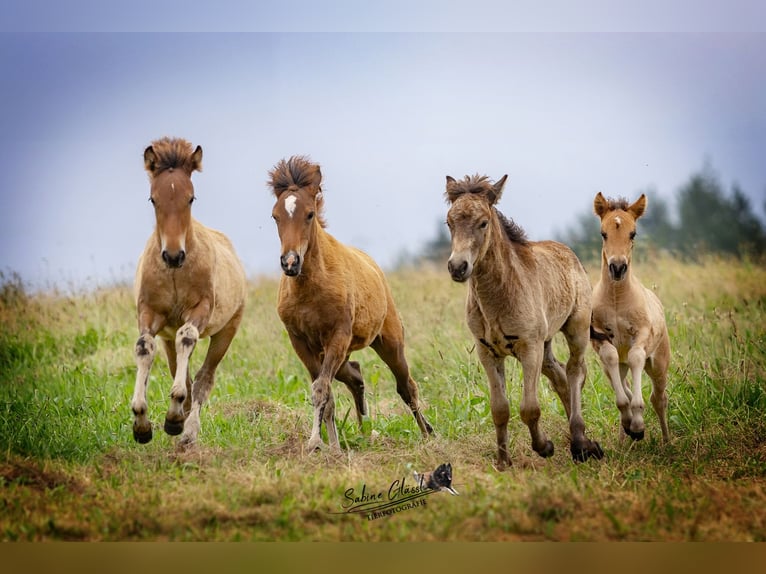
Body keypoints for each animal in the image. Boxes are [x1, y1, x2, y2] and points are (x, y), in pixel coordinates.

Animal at [130, 138, 248, 450]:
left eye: (191, 198)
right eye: (153, 199)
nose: (173, 255)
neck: (174, 274)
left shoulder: (200, 310)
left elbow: (188, 339)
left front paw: (174, 419)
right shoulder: (149, 313)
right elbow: (144, 347)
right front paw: (141, 423)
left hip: (226, 332)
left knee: (204, 378)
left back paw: (187, 430)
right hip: (167, 337)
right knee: (177, 368)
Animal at [268, 155, 438, 452]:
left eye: (309, 214)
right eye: (275, 216)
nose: (290, 262)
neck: (310, 289)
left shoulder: (338, 336)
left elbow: (321, 389)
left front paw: (315, 443)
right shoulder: (301, 342)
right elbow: (325, 392)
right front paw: (332, 447)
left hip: (388, 342)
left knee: (406, 386)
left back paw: (427, 432)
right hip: (339, 354)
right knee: (356, 376)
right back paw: (364, 430)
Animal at [444, 173, 608, 470]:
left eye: (483, 222)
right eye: (449, 223)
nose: (458, 267)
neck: (498, 296)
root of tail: (570, 254)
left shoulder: (529, 347)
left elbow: (529, 408)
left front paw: (544, 447)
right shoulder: (488, 351)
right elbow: (500, 409)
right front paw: (502, 462)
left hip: (575, 330)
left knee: (575, 371)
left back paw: (580, 443)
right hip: (546, 344)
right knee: (559, 375)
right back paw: (583, 441)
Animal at [592, 195, 672, 446]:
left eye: (633, 233)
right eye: (603, 233)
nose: (617, 268)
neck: (617, 298)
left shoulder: (642, 334)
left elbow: (637, 356)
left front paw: (637, 424)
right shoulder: (600, 338)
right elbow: (611, 359)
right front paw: (630, 422)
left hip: (659, 363)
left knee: (659, 398)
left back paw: (667, 442)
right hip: (617, 366)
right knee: (623, 380)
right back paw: (622, 438)